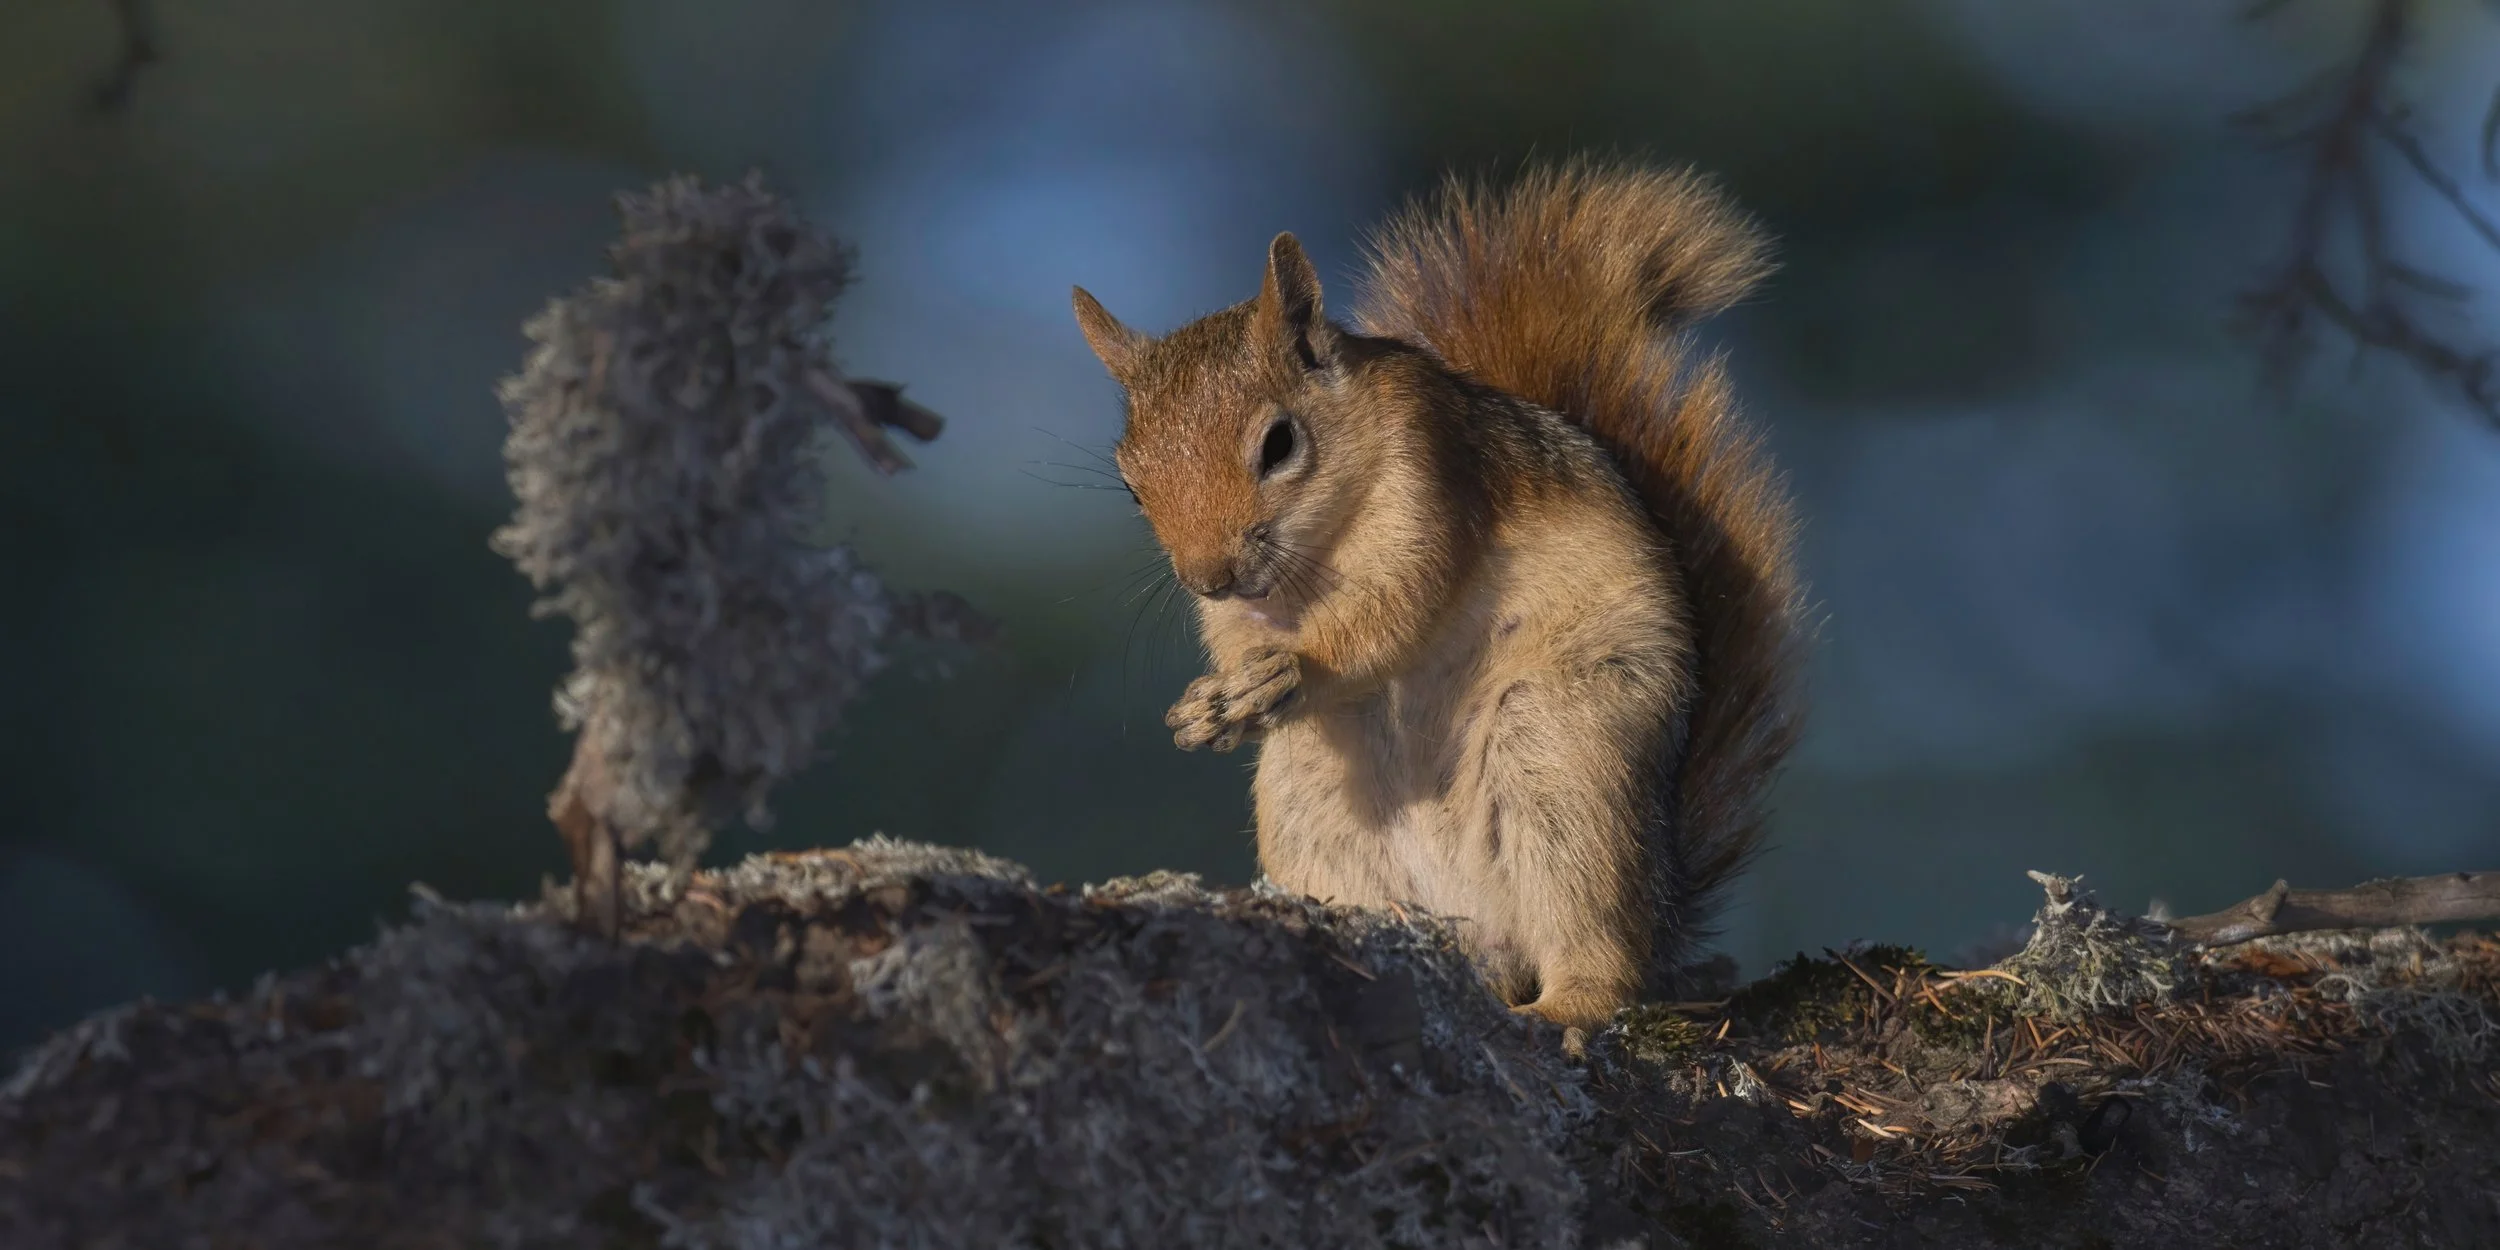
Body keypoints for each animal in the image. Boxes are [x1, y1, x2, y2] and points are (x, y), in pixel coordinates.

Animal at [1069, 158, 1805, 1032]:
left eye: (1279, 444)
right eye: (1131, 485)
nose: (1209, 576)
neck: (1312, 562)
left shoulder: (1433, 472)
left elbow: (1400, 606)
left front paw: (1298, 671)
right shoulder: (1244, 611)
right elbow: (1235, 641)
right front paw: (1206, 704)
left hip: (1562, 756)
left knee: (1595, 932)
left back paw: (1569, 1003)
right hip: (1311, 796)